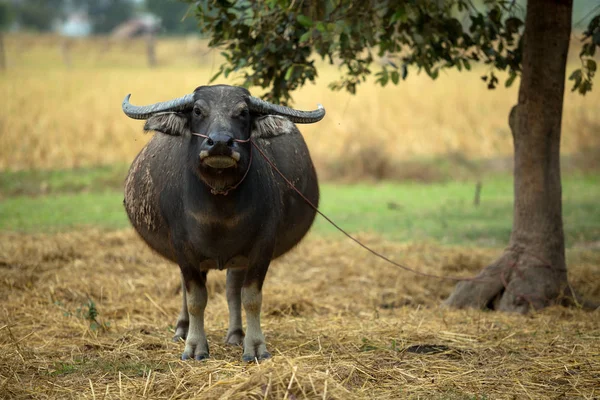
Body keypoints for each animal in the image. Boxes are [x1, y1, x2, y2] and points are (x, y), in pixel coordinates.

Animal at [122, 85, 326, 362]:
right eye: (198, 111)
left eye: (243, 112)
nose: (220, 143)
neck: (219, 208)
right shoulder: (183, 248)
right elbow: (196, 297)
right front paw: (195, 347)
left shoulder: (262, 246)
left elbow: (251, 297)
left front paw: (255, 347)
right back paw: (182, 330)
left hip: (239, 257)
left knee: (232, 289)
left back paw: (236, 334)